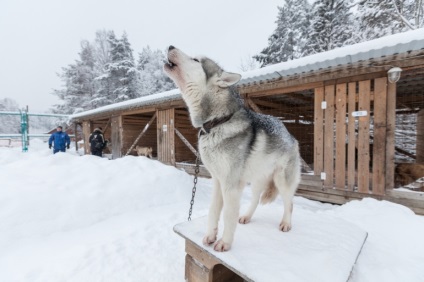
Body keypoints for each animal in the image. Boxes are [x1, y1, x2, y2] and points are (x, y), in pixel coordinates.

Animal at [164, 45, 300, 251]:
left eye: (196, 60)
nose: (170, 46)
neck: (217, 122)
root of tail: (290, 134)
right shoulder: (218, 181)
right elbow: (213, 211)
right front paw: (210, 236)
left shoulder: (231, 185)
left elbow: (228, 215)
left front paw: (224, 243)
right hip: (256, 181)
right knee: (255, 200)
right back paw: (246, 217)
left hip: (282, 181)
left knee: (289, 203)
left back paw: (286, 223)